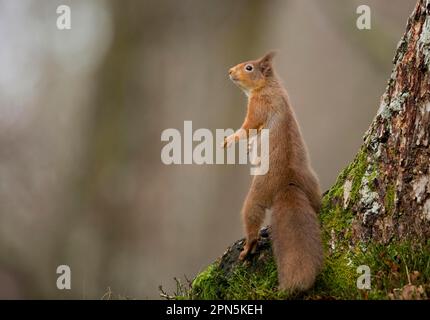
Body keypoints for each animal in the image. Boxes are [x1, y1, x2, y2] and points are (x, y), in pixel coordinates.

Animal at [222, 50, 322, 292]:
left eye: (249, 68)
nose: (229, 71)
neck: (268, 85)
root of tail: (287, 183)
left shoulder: (258, 107)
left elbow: (247, 129)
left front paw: (230, 141)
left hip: (257, 193)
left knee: (252, 218)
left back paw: (247, 248)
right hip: (312, 185)